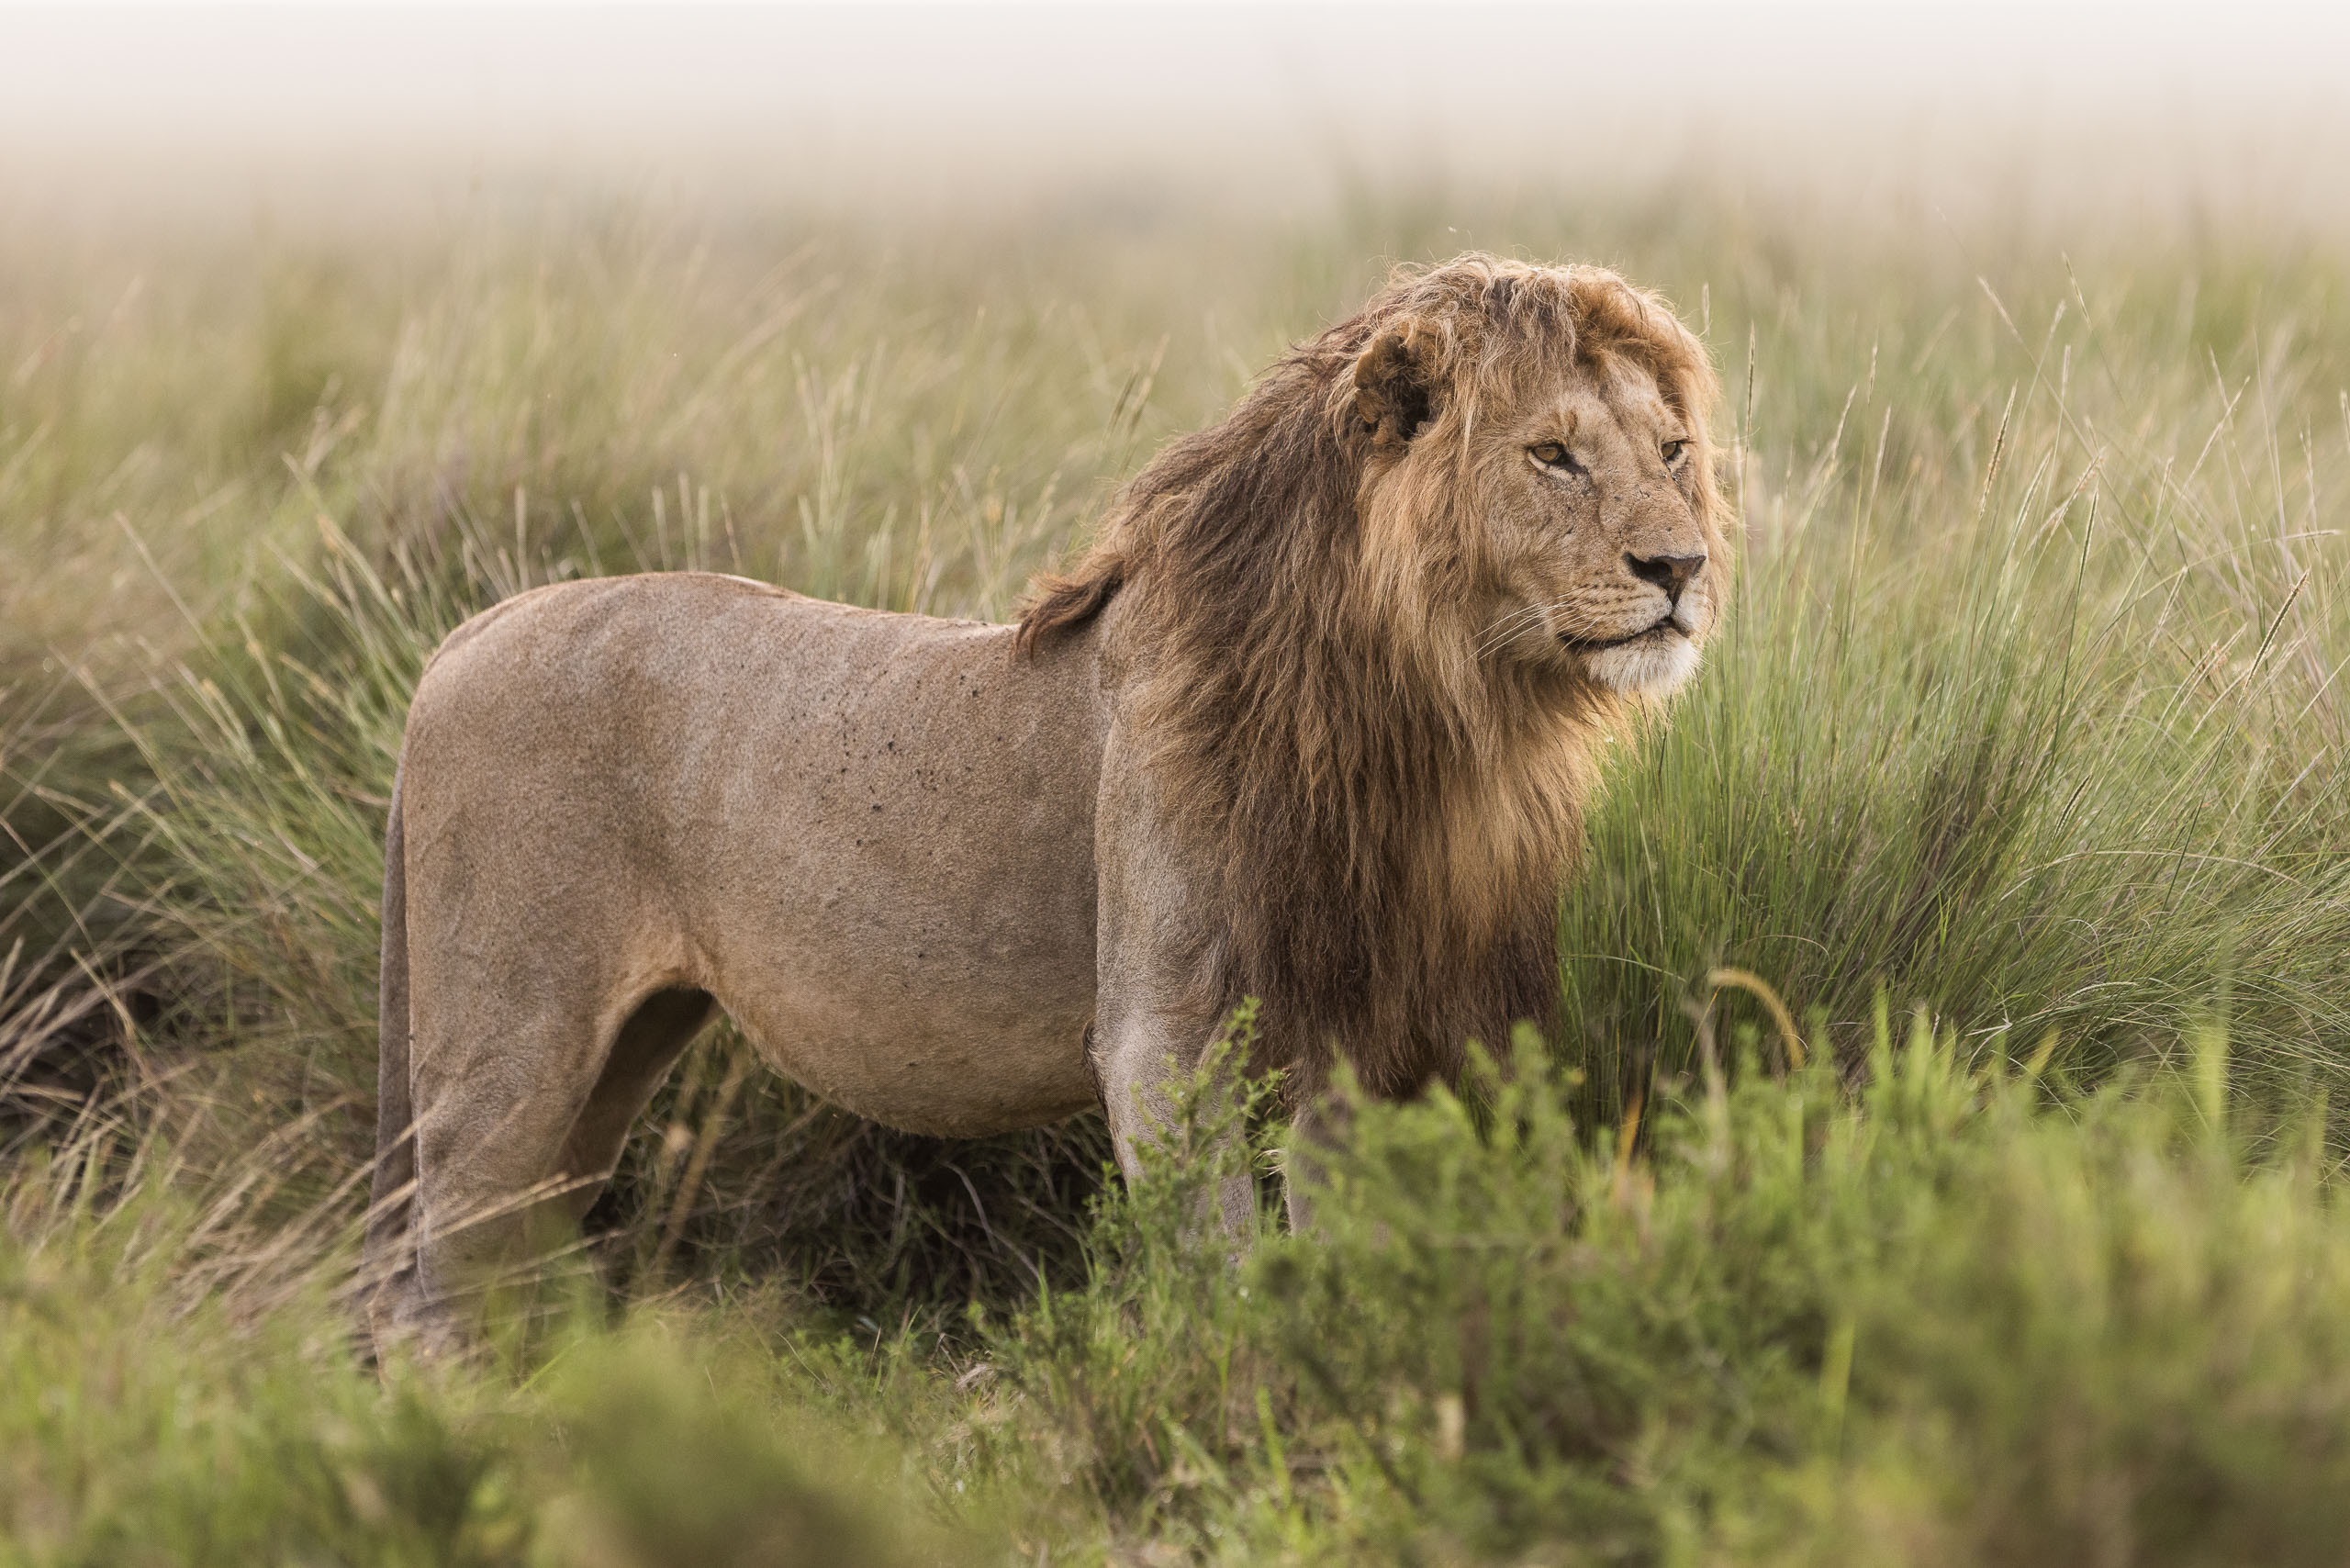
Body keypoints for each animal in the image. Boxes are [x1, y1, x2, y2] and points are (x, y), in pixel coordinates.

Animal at [363, 254, 1729, 1345]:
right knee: (431, 1299)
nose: (1681, 567)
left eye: (1671, 454)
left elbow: (1343, 1246)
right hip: (510, 1042)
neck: (1412, 710)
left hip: (614, 1056)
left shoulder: (1353, 1022)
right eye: (1553, 455)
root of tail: (465, 633)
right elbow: (1220, 1269)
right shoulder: (1161, 1031)